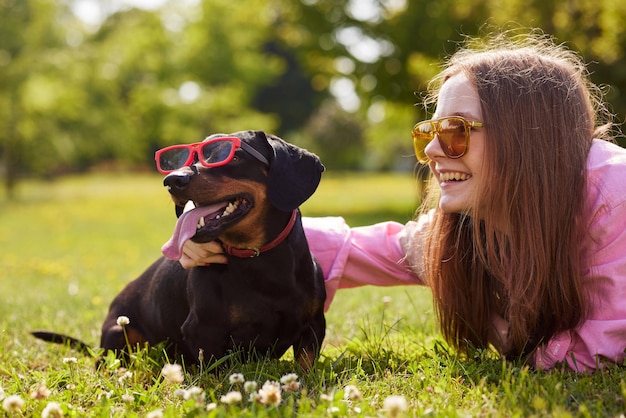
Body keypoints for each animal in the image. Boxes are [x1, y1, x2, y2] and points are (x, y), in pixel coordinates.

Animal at [34, 131, 326, 370]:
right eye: (184, 158)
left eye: (228, 154)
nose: (171, 180)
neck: (259, 260)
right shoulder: (203, 331)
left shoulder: (313, 326)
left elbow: (306, 366)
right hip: (121, 330)